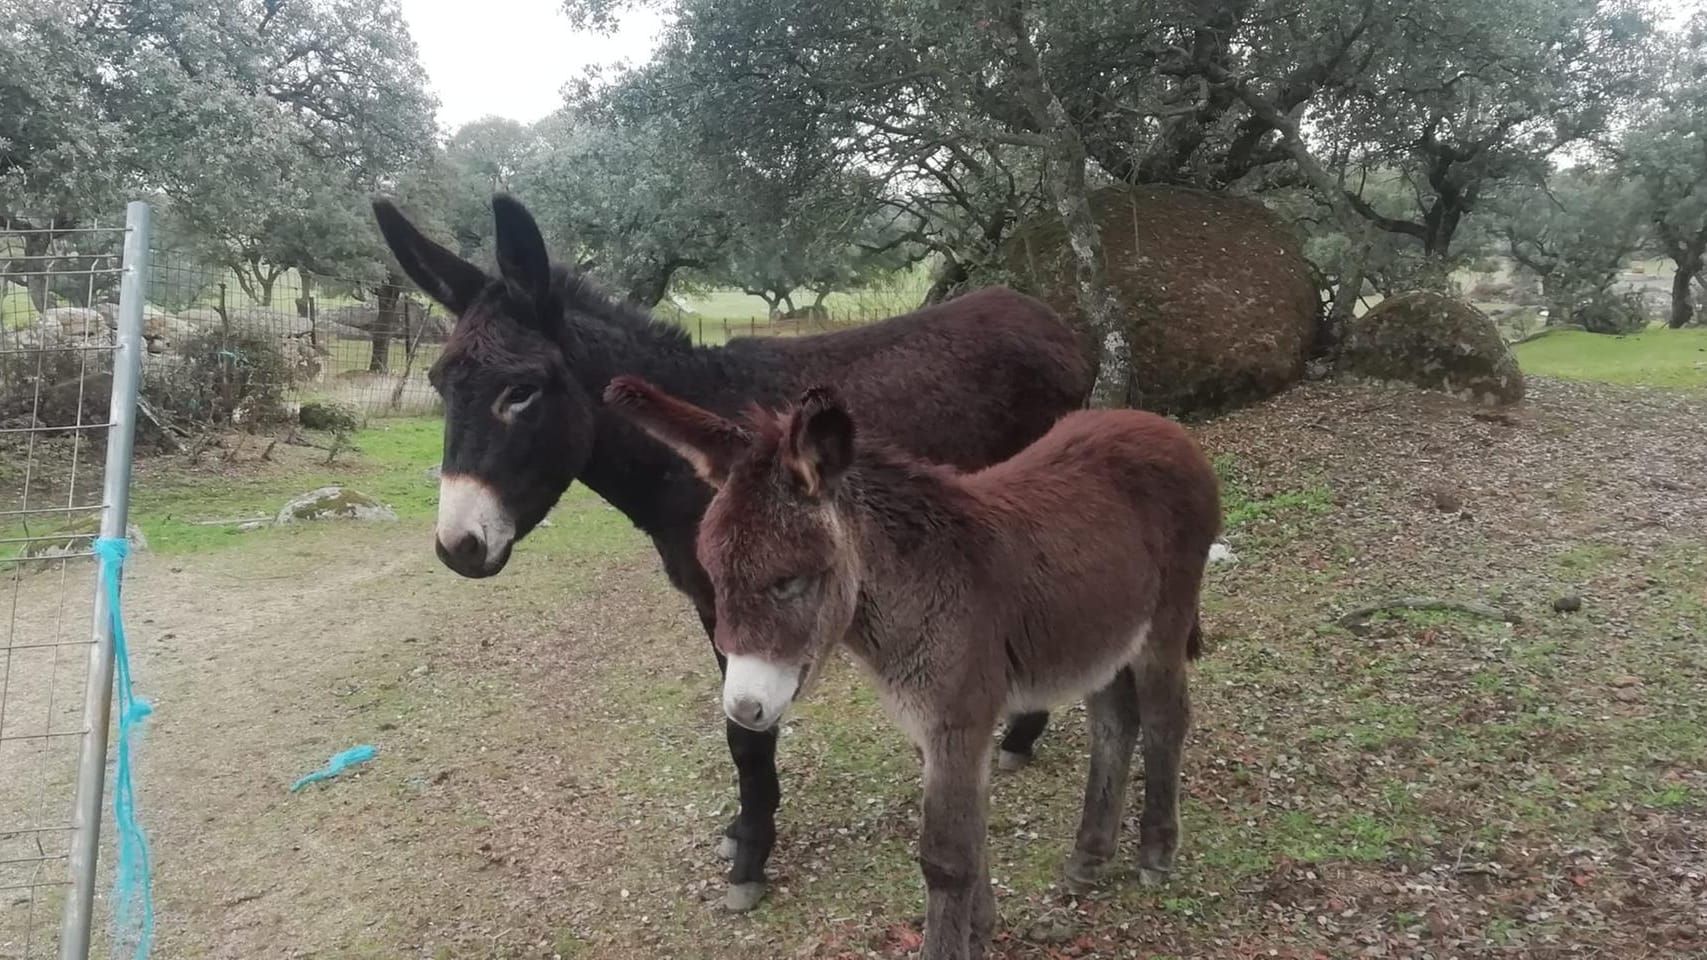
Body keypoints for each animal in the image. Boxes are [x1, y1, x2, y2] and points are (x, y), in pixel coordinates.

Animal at [607, 375, 1222, 956]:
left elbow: (946, 858)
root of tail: (1159, 425)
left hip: (1164, 623)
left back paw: (1156, 851)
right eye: (714, 577)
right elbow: (972, 837)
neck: (922, 586)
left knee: (1166, 718)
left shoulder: (959, 719)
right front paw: (980, 930)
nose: (743, 709)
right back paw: (1090, 855)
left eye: (788, 582)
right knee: (1116, 722)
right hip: (1099, 635)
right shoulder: (934, 726)